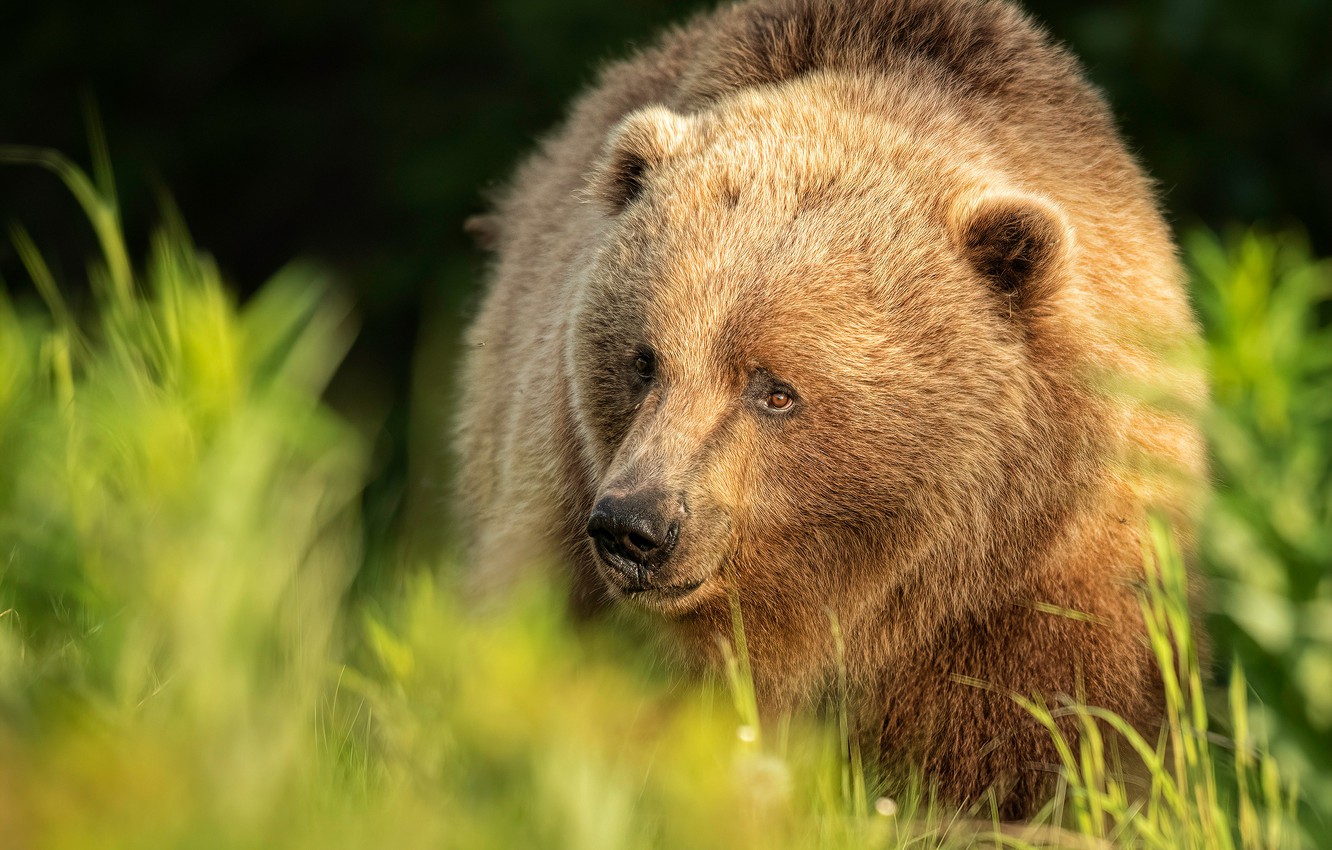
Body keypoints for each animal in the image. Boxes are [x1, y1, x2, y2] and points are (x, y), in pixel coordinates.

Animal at [456, 0, 1207, 820]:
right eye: (643, 360)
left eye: (775, 389)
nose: (635, 527)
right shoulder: (563, 529)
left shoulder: (1044, 591)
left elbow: (1039, 748)